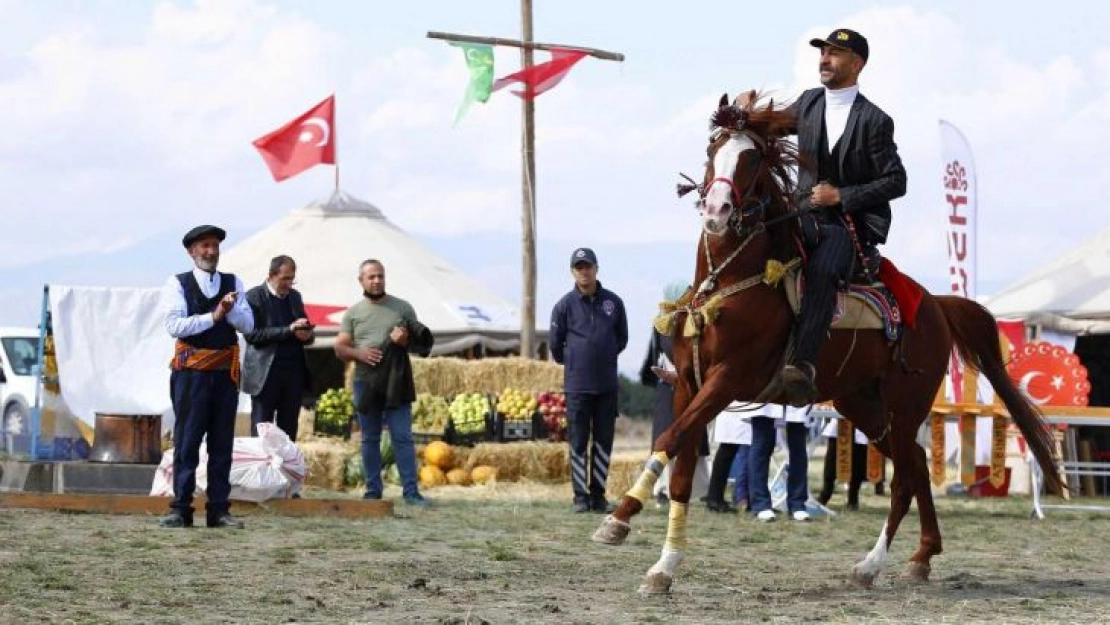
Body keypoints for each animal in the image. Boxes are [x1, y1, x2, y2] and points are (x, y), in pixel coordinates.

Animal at [590, 91, 1065, 595]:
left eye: (751, 157)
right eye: (712, 149)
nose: (716, 211)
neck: (731, 282)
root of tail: (935, 304)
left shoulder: (726, 380)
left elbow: (669, 436)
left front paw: (618, 520)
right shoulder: (687, 383)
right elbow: (679, 470)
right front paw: (662, 568)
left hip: (905, 406)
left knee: (905, 478)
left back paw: (872, 564)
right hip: (862, 403)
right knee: (916, 464)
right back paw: (921, 556)